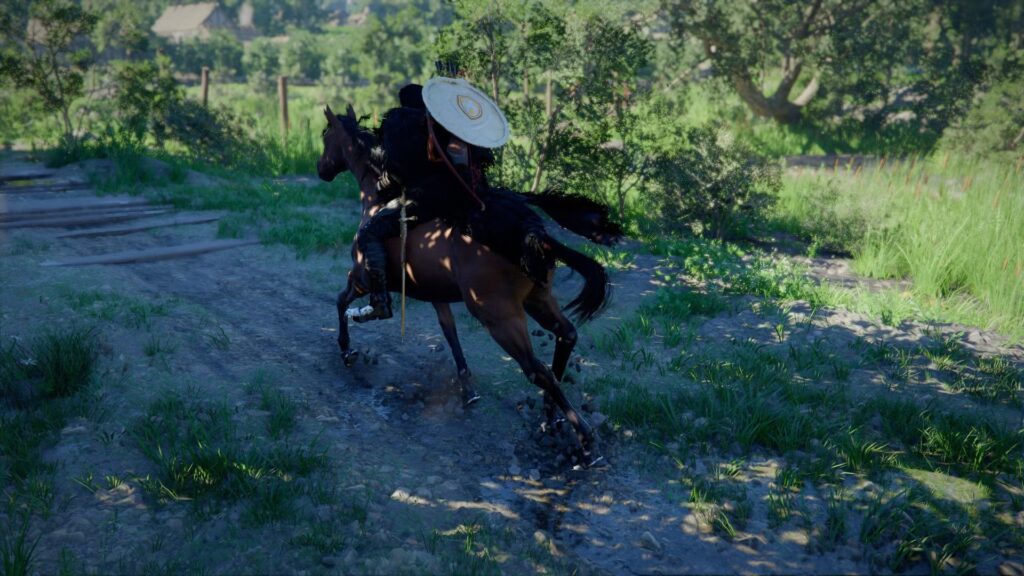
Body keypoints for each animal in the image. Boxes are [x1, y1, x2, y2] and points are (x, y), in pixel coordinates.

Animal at [317, 104, 612, 466]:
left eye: (326, 137)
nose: (321, 169)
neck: (378, 197)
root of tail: (533, 235)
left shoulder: (360, 277)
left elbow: (343, 302)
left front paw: (348, 347)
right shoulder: (436, 295)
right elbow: (450, 332)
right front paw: (467, 389)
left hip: (499, 317)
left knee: (536, 369)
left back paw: (583, 438)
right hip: (538, 299)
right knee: (565, 337)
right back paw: (550, 416)